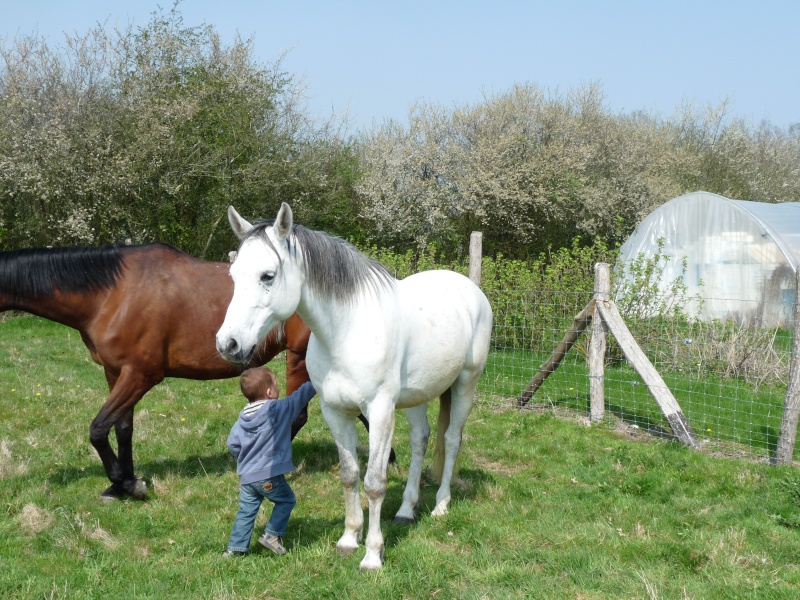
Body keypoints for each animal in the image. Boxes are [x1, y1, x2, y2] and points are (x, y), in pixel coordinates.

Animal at [0, 244, 318, 502]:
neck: (113, 295)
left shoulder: (140, 376)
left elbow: (98, 429)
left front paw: (128, 483)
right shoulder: (116, 373)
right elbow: (122, 428)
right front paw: (119, 486)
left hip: (298, 358)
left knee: (296, 415)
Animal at [216, 203, 490, 572]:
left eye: (267, 276)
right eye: (233, 277)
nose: (227, 344)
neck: (347, 331)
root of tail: (469, 288)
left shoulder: (380, 412)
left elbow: (374, 482)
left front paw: (373, 554)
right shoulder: (335, 412)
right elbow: (349, 474)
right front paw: (348, 539)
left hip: (465, 385)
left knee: (451, 440)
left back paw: (440, 506)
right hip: (415, 397)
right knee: (421, 441)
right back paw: (406, 510)